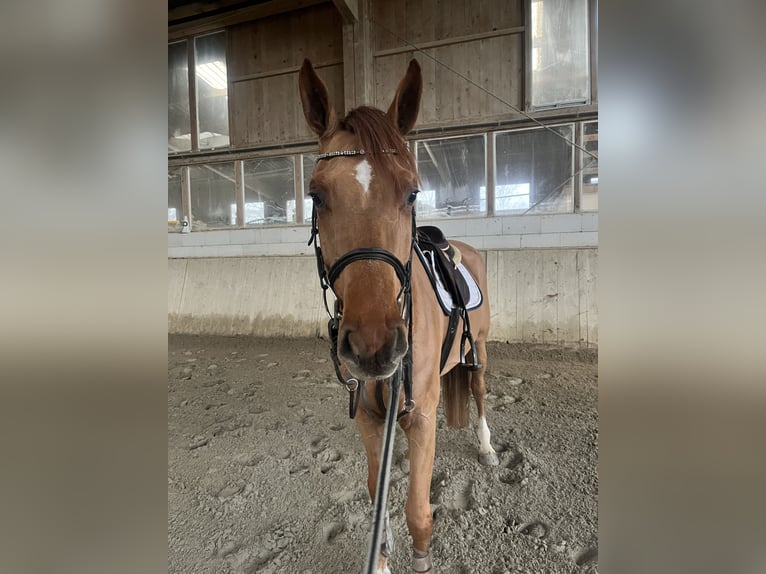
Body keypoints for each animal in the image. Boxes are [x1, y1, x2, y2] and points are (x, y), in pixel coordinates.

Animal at [298, 58, 499, 574]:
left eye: (411, 193)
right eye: (316, 195)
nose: (373, 346)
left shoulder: (422, 417)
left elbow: (418, 515)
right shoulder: (370, 420)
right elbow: (377, 500)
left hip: (479, 351)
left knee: (479, 392)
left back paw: (488, 447)